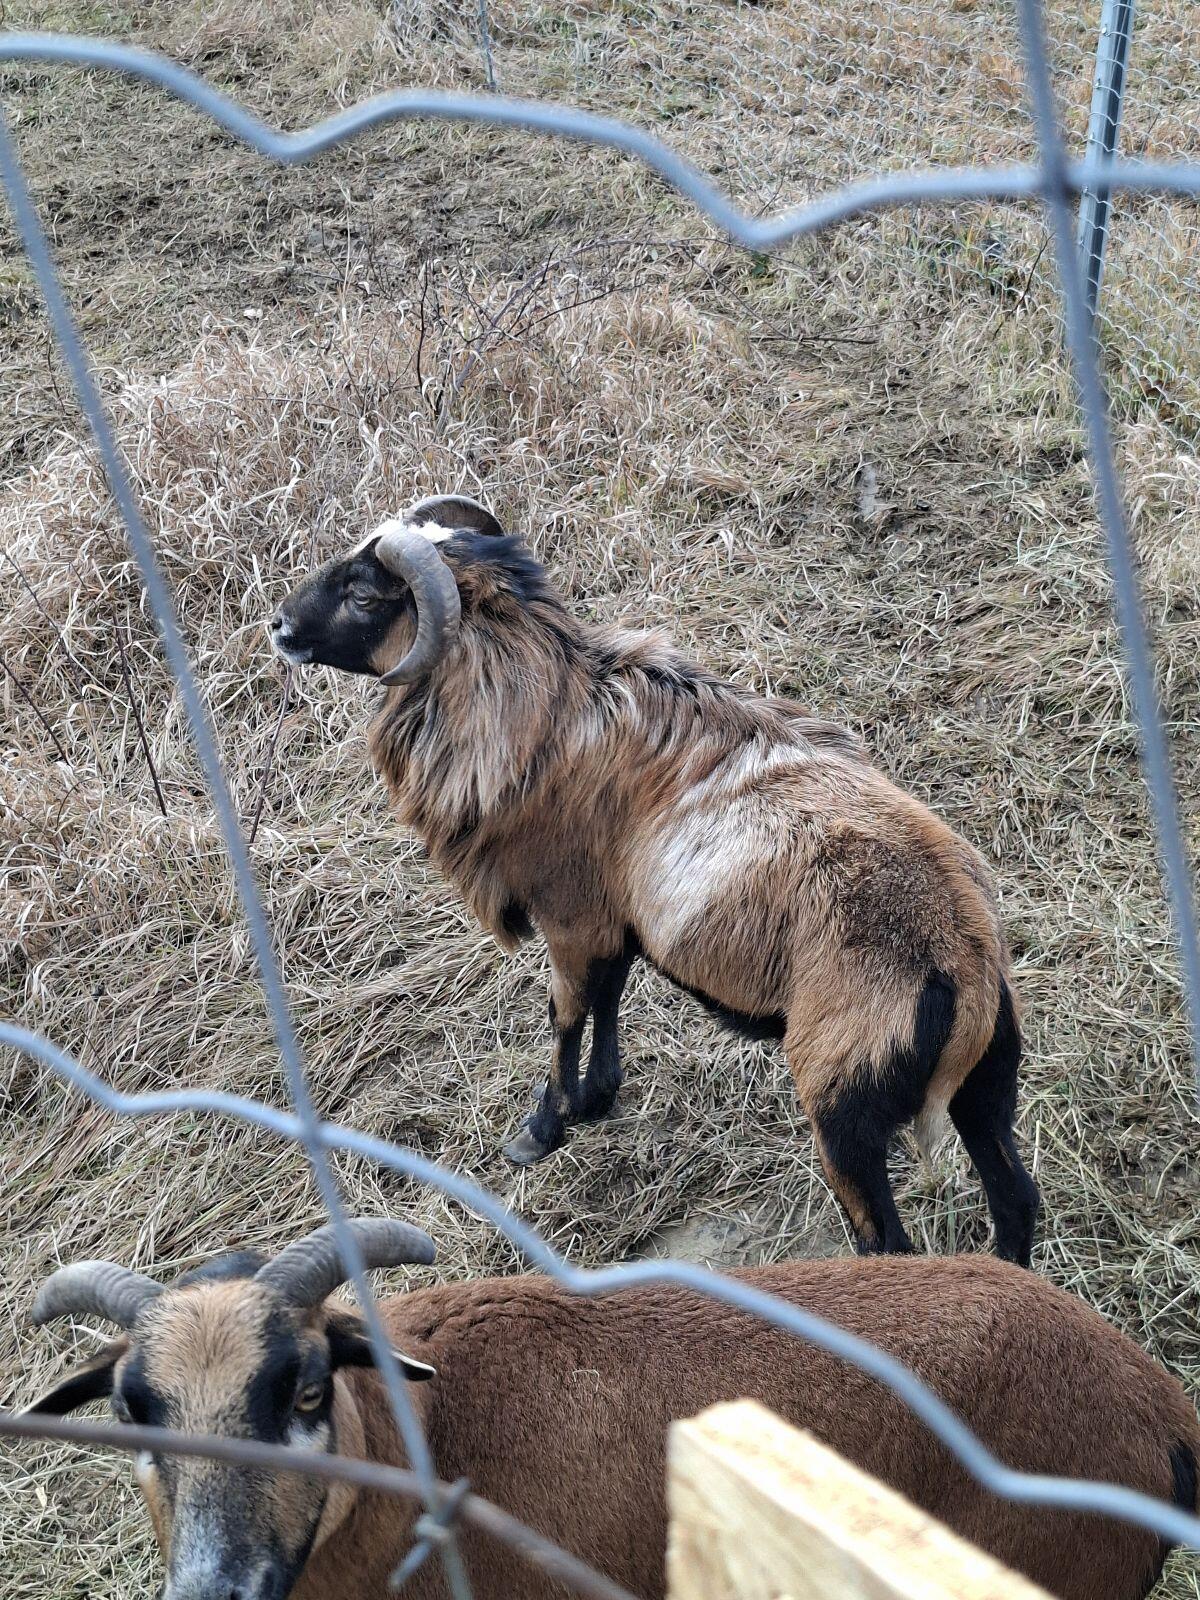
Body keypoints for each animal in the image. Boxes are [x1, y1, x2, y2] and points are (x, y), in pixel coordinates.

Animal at [269, 495, 1039, 1263]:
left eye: (364, 594)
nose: (280, 626)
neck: (544, 710)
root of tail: (960, 966)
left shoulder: (570, 913)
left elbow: (567, 1010)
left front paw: (542, 1130)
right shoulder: (614, 917)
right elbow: (610, 993)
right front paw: (598, 1098)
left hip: (843, 1105)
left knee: (885, 1241)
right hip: (987, 1084)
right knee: (1015, 1196)